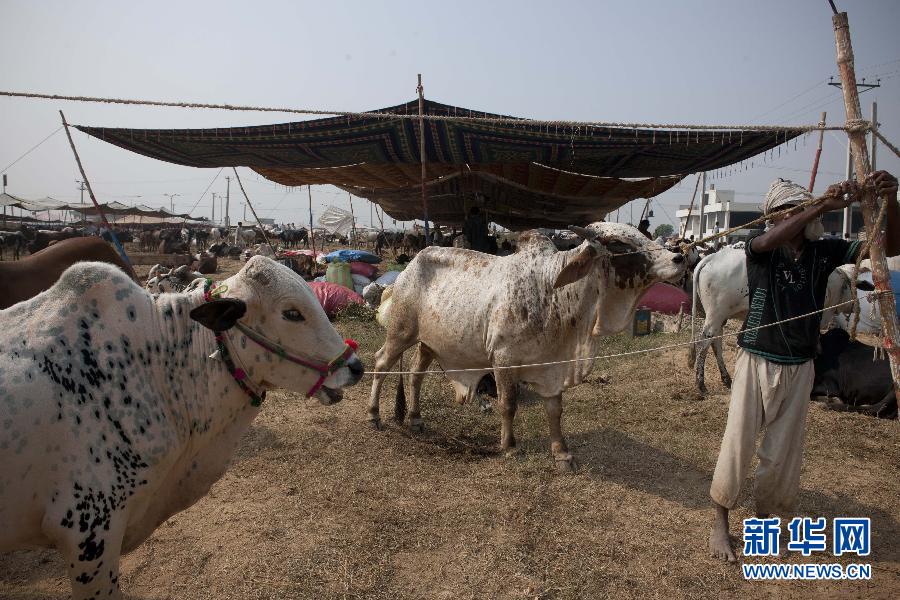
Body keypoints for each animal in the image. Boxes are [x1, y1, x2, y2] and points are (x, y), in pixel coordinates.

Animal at [368, 222, 686, 470]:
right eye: (619, 244)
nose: (679, 257)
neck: (555, 293)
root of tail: (410, 265)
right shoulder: (504, 361)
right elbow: (508, 405)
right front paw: (509, 446)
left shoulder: (552, 365)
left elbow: (555, 410)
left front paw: (561, 453)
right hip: (401, 332)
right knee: (382, 363)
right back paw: (373, 414)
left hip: (428, 344)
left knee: (415, 375)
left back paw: (415, 418)